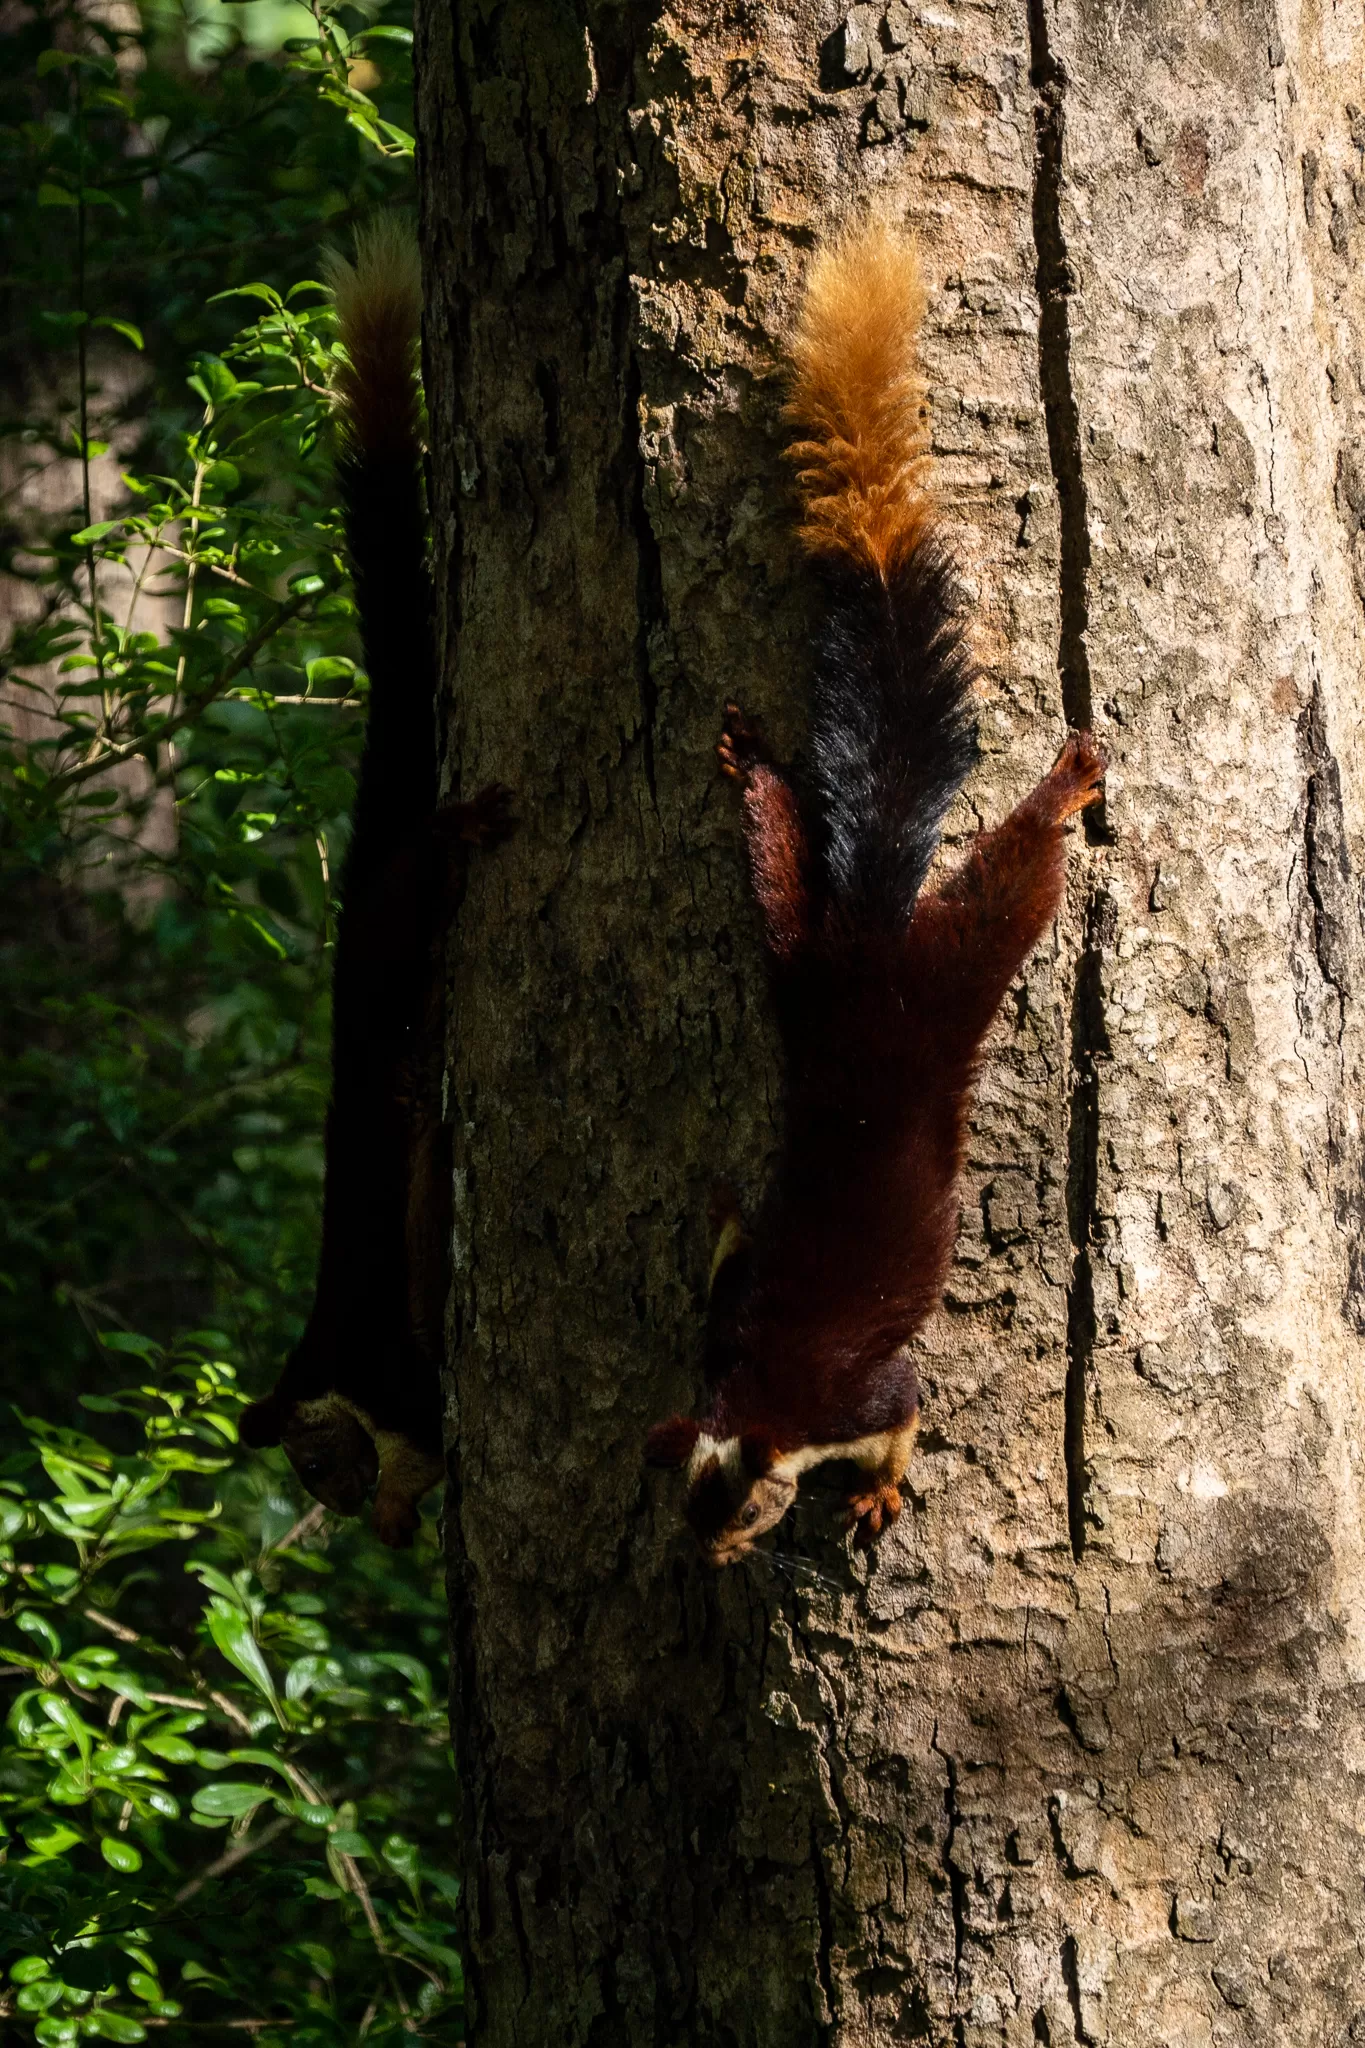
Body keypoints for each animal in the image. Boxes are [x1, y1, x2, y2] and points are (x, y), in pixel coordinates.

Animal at [646, 224, 1105, 1556]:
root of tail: (863, 946)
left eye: (751, 1515)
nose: (709, 1558)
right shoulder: (726, 1330)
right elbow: (731, 1251)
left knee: (1016, 876)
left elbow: (903, 1413)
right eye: (683, 1503)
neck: (760, 1394)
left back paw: (1066, 783)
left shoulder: (857, 1391)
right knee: (778, 842)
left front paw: (883, 1491)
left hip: (956, 961)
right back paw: (749, 756)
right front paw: (716, 1202)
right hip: (796, 939)